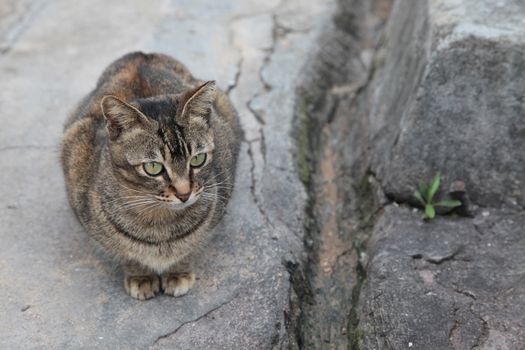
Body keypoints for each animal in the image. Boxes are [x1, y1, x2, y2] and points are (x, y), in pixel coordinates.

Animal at [61, 52, 242, 300]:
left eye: (198, 159)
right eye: (153, 167)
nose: (184, 194)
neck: (159, 225)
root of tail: (141, 54)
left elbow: (189, 247)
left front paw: (178, 272)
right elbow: (128, 254)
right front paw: (141, 276)